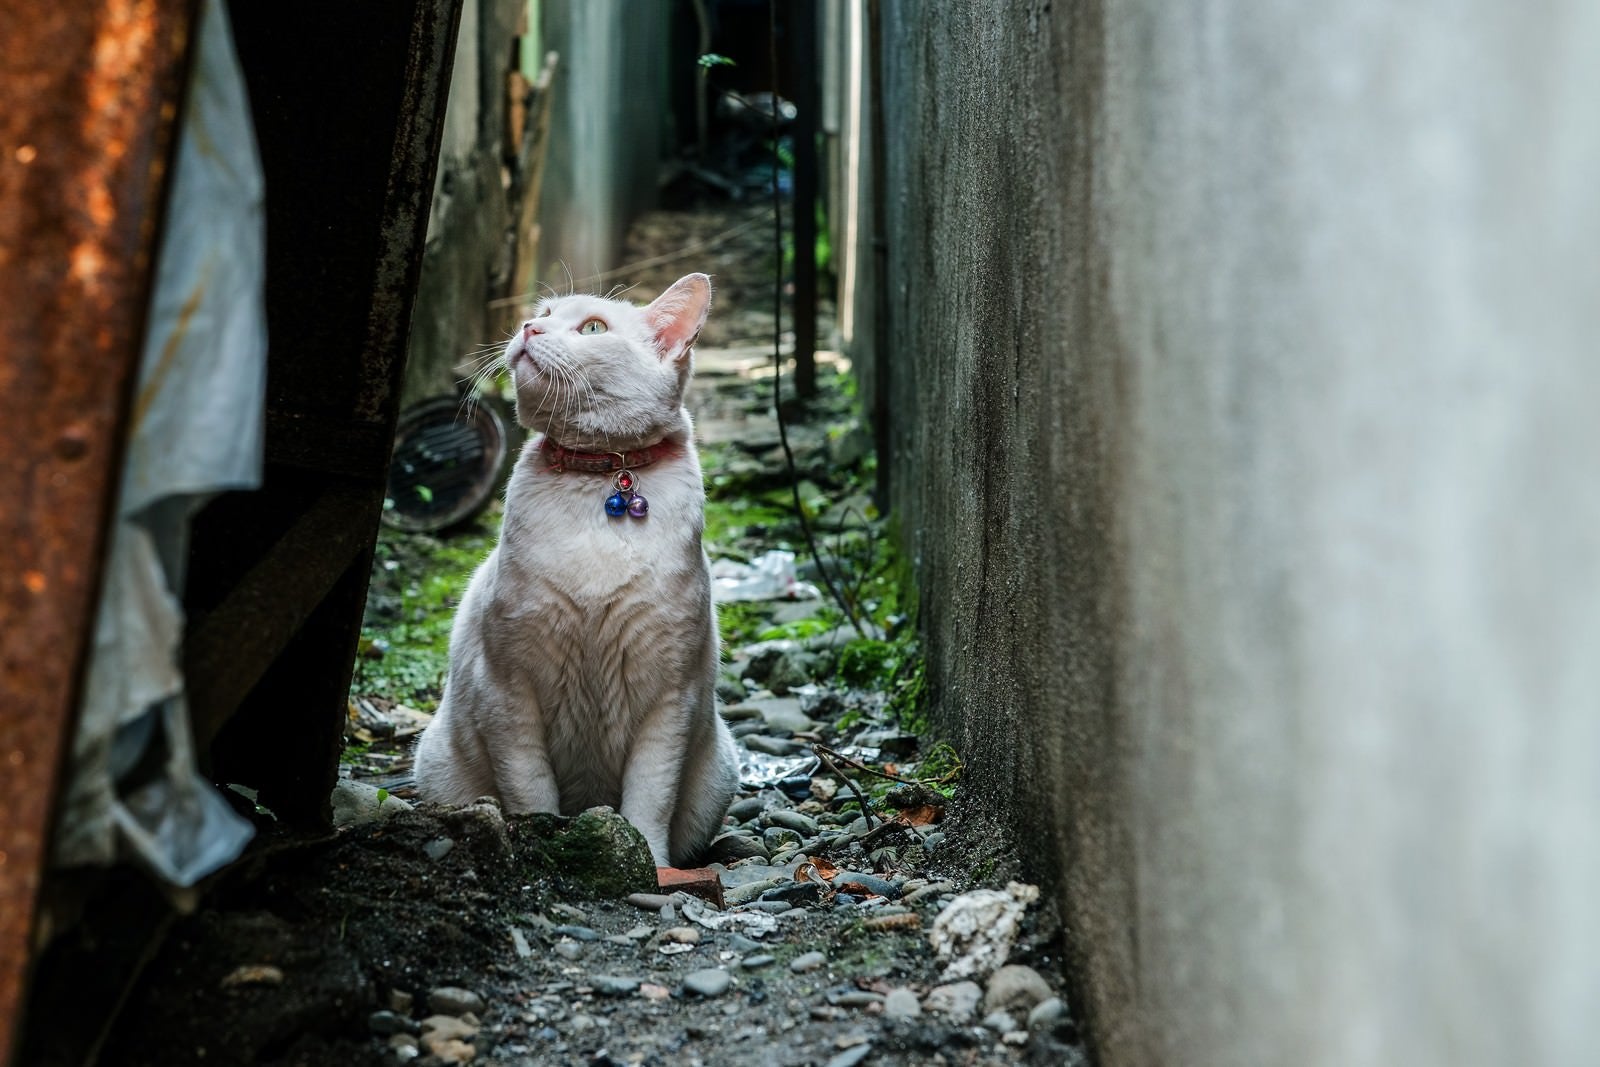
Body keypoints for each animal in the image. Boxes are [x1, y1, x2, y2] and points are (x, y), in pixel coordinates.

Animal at [412, 273, 736, 870]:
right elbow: (530, 791)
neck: (599, 476)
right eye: (542, 314)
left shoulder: (670, 700)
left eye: (592, 329)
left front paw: (650, 866)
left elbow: (649, 799)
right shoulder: (505, 689)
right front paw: (545, 844)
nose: (527, 328)